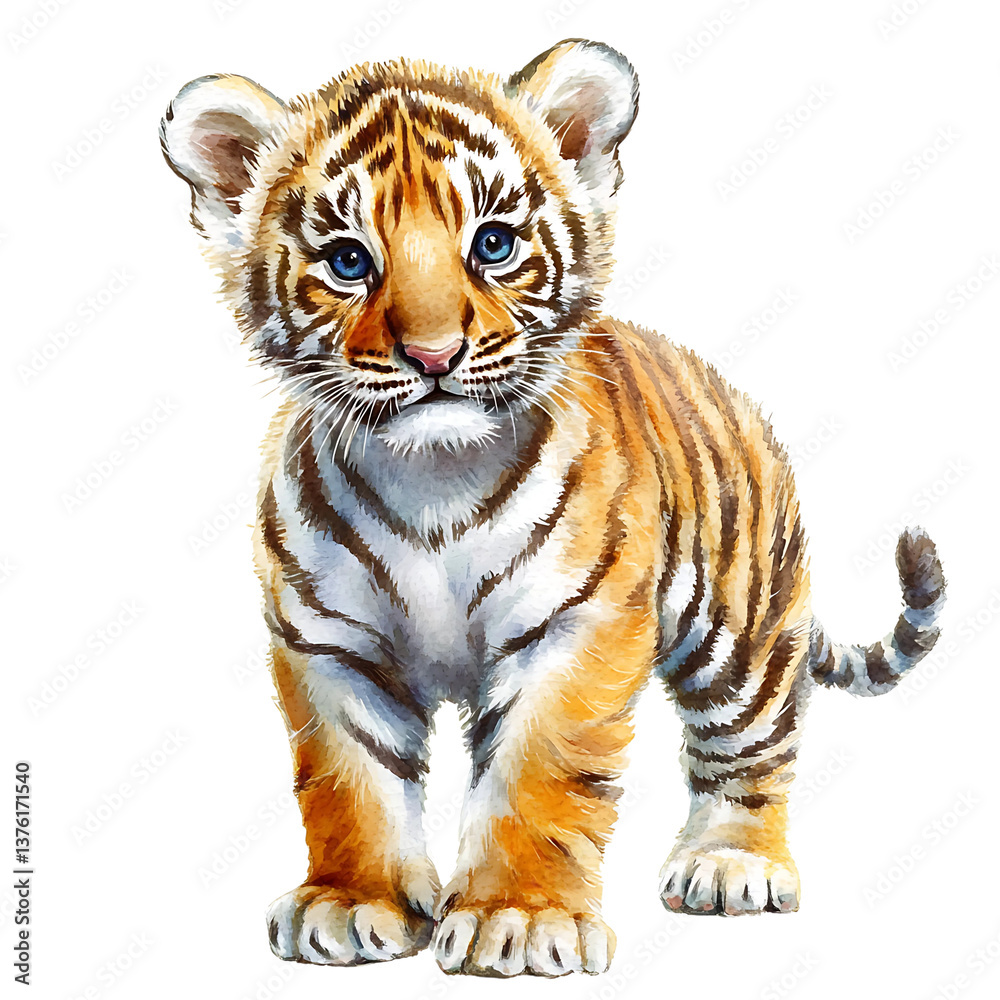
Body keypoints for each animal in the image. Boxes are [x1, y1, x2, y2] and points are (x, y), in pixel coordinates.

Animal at [160, 38, 946, 977]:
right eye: (349, 261)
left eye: (493, 244)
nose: (434, 356)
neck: (432, 480)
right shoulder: (331, 643)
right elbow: (351, 780)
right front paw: (352, 903)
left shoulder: (575, 627)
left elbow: (538, 776)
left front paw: (519, 919)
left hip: (740, 627)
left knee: (751, 747)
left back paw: (731, 864)